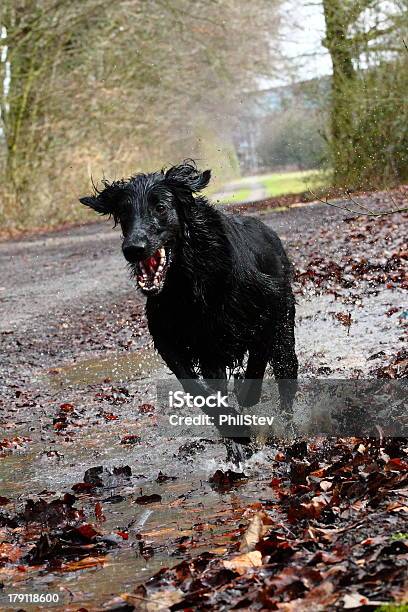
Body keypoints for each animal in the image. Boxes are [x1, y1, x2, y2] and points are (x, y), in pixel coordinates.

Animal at [79, 160, 298, 414]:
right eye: (124, 212)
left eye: (161, 208)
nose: (133, 248)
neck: (190, 279)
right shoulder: (172, 335)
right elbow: (193, 384)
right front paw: (226, 417)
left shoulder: (270, 303)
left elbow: (257, 359)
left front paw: (246, 396)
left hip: (283, 325)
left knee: (286, 367)